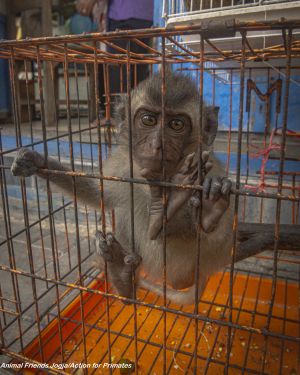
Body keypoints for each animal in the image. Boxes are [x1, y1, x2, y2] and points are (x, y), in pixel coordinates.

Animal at [11, 71, 232, 306]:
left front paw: (211, 197)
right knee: (127, 209)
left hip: (183, 267)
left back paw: (180, 215)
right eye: (148, 120)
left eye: (176, 125)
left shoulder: (207, 164)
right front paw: (37, 162)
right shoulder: (122, 165)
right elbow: (99, 193)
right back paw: (124, 279)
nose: (157, 145)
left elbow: (221, 234)